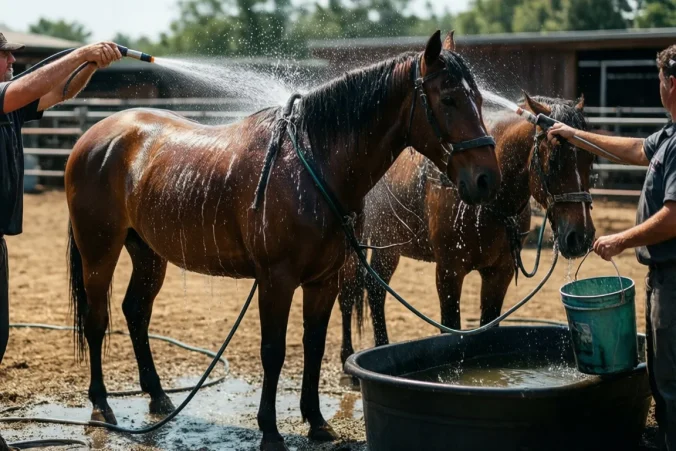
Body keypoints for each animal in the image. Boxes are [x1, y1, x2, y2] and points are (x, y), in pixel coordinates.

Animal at [64, 31, 501, 450]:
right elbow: (272, 352)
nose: (487, 180)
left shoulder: (323, 281)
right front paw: (270, 432)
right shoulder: (276, 281)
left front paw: (317, 422)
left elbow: (313, 346)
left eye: (479, 98)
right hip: (99, 251)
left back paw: (157, 397)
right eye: (449, 99)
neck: (312, 165)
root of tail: (94, 137)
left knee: (135, 312)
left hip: (149, 254)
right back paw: (102, 406)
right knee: (97, 320)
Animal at [338, 94, 596, 367]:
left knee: (375, 291)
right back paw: (347, 355)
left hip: (388, 245)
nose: (581, 236)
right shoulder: (449, 272)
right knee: (348, 294)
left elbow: (488, 326)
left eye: (590, 160)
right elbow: (451, 327)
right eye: (554, 160)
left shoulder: (499, 273)